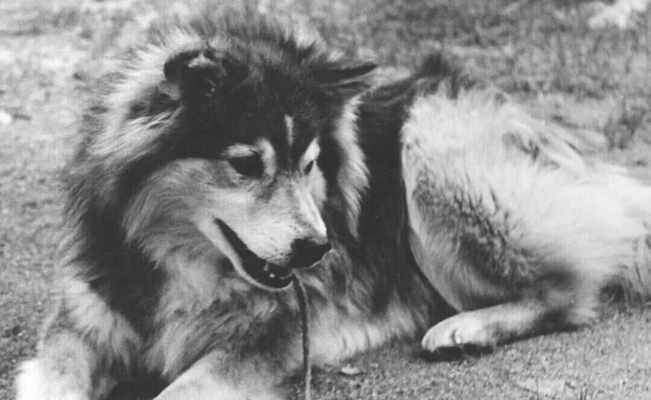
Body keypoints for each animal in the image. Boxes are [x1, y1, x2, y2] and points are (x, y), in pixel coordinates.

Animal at [14, 9, 651, 400]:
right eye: (247, 165)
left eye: (311, 164)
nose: (317, 249)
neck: (178, 259)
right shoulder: (79, 326)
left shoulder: (269, 340)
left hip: (432, 150)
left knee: (570, 294)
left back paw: (467, 328)